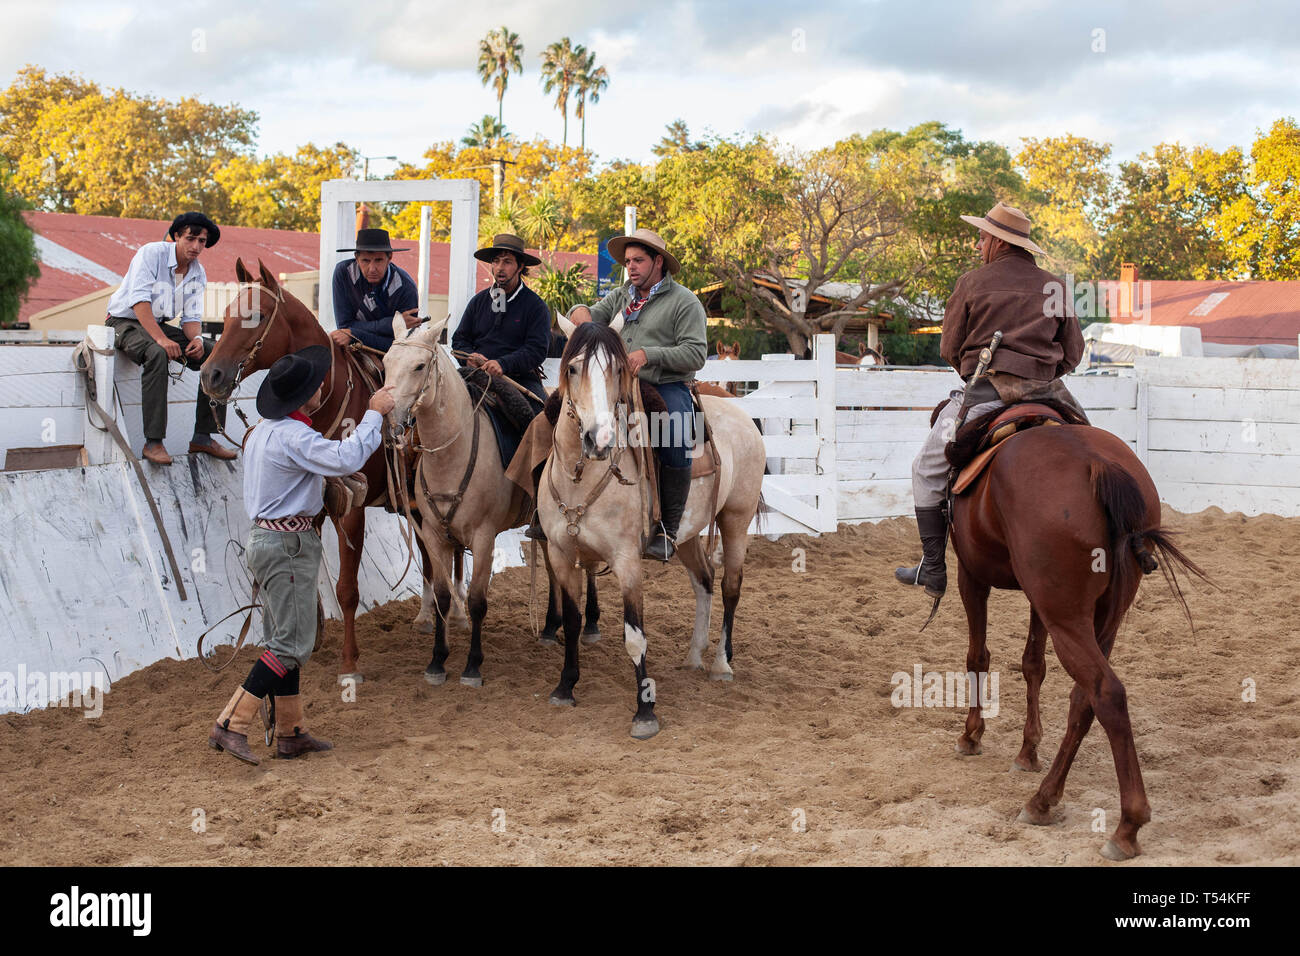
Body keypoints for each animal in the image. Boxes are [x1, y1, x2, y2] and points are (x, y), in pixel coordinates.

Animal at [196, 257, 447, 686]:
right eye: (225, 316)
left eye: (255, 315)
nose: (210, 375)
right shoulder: (312, 508)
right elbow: (303, 575)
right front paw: (307, 645)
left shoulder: (352, 511)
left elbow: (346, 589)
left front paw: (349, 665)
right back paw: (426, 616)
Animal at [540, 317, 764, 743]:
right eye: (573, 368)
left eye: (618, 370)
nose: (600, 441)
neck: (582, 480)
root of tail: (738, 411)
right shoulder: (562, 557)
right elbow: (573, 623)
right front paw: (564, 687)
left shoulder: (627, 563)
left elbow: (634, 637)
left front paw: (645, 712)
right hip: (687, 536)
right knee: (704, 581)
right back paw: (694, 655)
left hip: (736, 520)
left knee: (731, 587)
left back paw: (721, 663)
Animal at [946, 411, 1206, 858]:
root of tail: (1097, 462)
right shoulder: (1037, 599)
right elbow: (1033, 663)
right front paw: (1027, 750)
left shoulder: (971, 576)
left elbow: (978, 656)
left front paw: (972, 735)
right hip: (1099, 617)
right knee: (1084, 699)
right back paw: (1044, 799)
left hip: (1065, 617)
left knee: (1106, 693)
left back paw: (1125, 827)